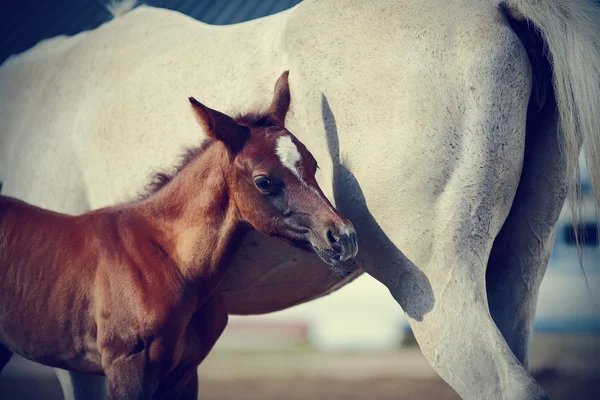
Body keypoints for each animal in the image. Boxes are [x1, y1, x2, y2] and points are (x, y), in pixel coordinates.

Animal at [0, 72, 356, 400]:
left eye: (313, 164)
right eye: (264, 181)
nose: (343, 237)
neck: (168, 258)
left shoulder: (184, 375)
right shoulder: (125, 368)